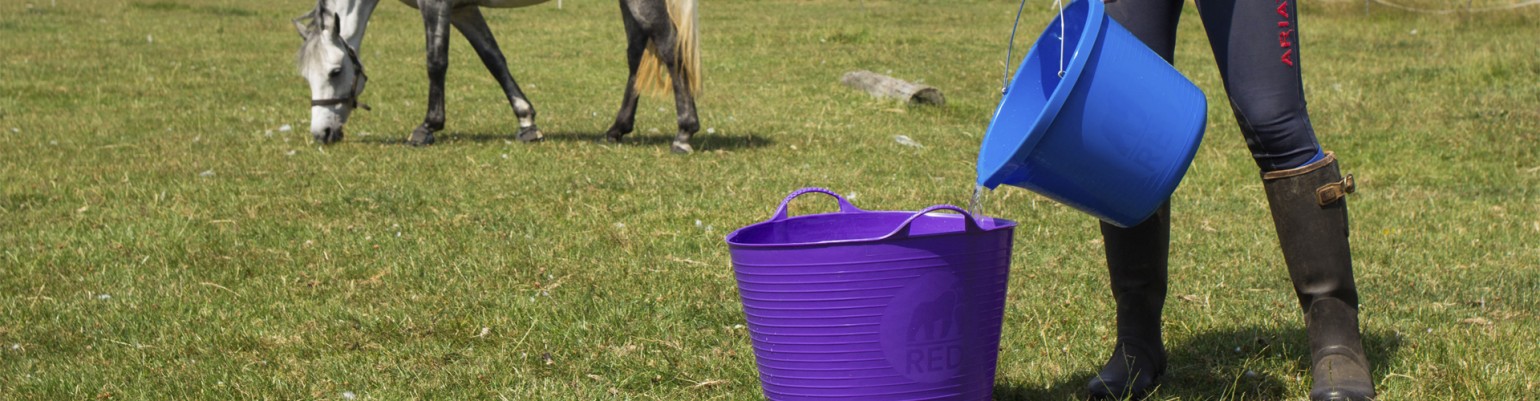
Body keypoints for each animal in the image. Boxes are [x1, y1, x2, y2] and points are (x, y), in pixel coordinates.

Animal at [292, 0, 705, 153]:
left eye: (335, 70)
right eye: (306, 77)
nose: (322, 133)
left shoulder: (436, 7)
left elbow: (436, 62)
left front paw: (427, 127)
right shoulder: (463, 10)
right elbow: (493, 58)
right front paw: (526, 122)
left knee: (668, 47)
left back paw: (684, 132)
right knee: (637, 51)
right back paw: (617, 128)